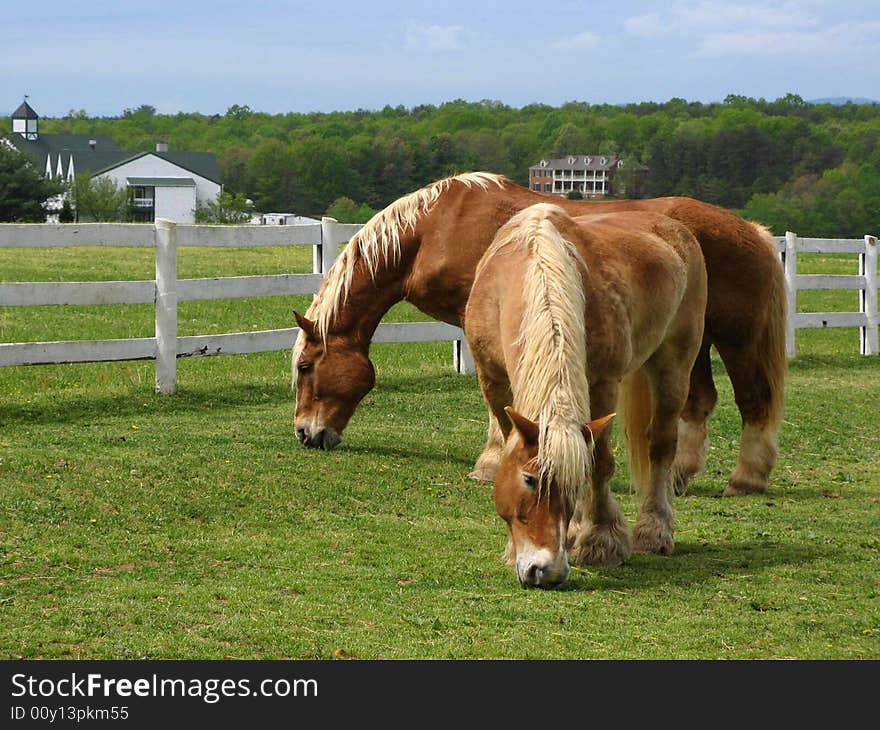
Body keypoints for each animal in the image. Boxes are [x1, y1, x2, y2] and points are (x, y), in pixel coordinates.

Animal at [292, 171, 788, 494]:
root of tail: (753, 231)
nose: (305, 434)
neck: (434, 229)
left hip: (737, 337)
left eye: (305, 367)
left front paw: (491, 461)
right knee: (699, 401)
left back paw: (746, 479)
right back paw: (681, 475)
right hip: (691, 341)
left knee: (754, 399)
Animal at [468, 203, 708, 584]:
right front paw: (518, 548)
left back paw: (654, 530)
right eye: (529, 480)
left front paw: (600, 539)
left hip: (674, 363)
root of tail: (674, 227)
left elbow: (600, 463)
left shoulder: (603, 384)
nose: (547, 571)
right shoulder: (492, 381)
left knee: (661, 446)